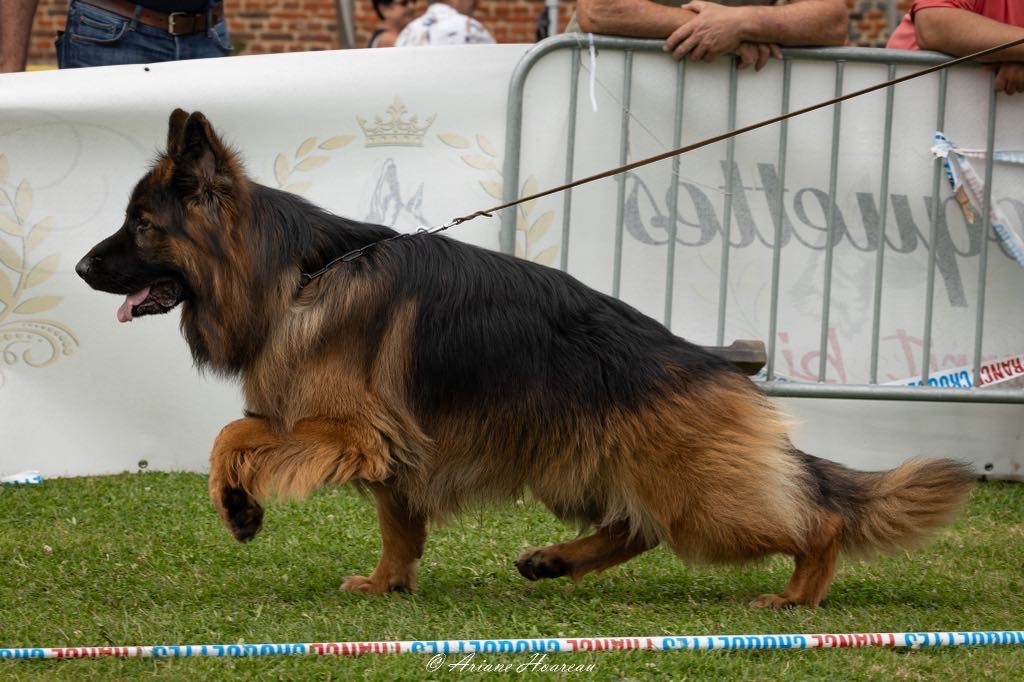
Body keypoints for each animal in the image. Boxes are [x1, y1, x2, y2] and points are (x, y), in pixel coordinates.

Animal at [75, 110, 970, 606]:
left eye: (142, 226)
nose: (82, 268)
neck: (296, 274)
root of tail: (714, 362)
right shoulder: (385, 450)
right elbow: (386, 518)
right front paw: (387, 583)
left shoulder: (349, 434)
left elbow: (231, 438)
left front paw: (239, 506)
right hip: (582, 468)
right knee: (634, 527)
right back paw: (556, 561)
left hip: (701, 498)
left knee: (812, 521)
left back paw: (795, 597)